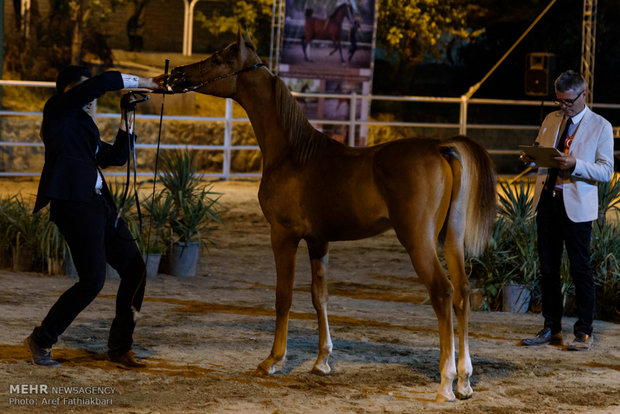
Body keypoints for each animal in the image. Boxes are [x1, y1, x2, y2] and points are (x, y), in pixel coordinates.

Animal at [170, 30, 498, 402]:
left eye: (215, 58)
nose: (177, 75)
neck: (293, 153)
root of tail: (441, 148)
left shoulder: (283, 236)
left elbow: (283, 297)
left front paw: (273, 360)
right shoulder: (318, 241)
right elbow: (319, 296)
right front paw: (322, 361)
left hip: (418, 241)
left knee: (442, 293)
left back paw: (445, 382)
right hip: (450, 239)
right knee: (462, 293)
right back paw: (464, 380)